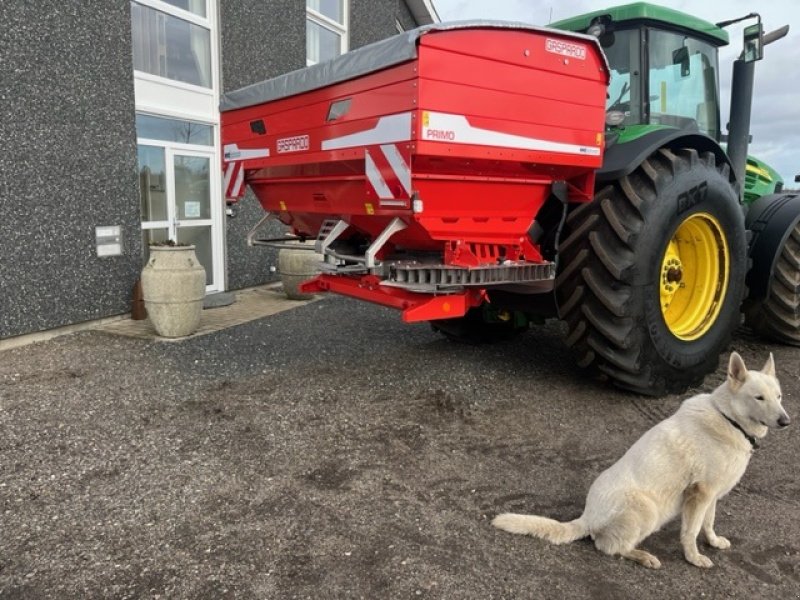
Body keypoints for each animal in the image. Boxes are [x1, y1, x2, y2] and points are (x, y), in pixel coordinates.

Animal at [490, 352, 792, 568]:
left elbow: (708, 524)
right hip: (648, 509)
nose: (786, 421)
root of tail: (586, 517)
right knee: (607, 547)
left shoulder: (712, 495)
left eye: (778, 397)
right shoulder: (700, 494)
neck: (729, 418)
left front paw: (714, 542)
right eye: (759, 398)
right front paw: (693, 558)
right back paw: (643, 556)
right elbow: (691, 531)